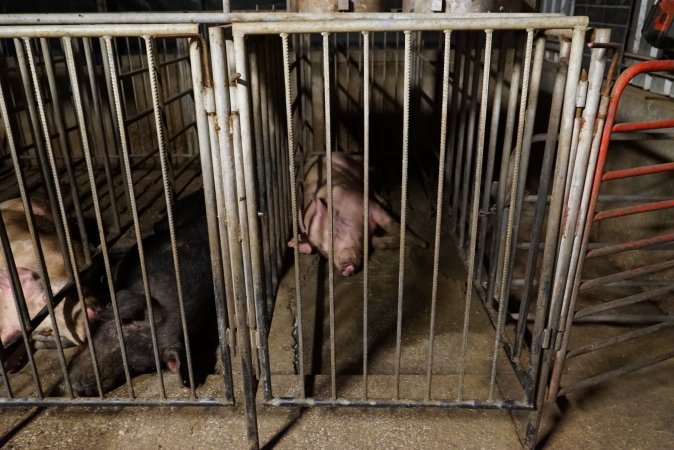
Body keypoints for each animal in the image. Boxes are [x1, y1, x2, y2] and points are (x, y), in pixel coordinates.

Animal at [288, 153, 426, 276]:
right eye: (324, 252)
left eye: (335, 233)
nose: (344, 268)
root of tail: (318, 155)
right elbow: (377, 243)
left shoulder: (366, 204)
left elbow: (392, 225)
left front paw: (423, 244)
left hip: (355, 168)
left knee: (369, 184)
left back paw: (385, 202)